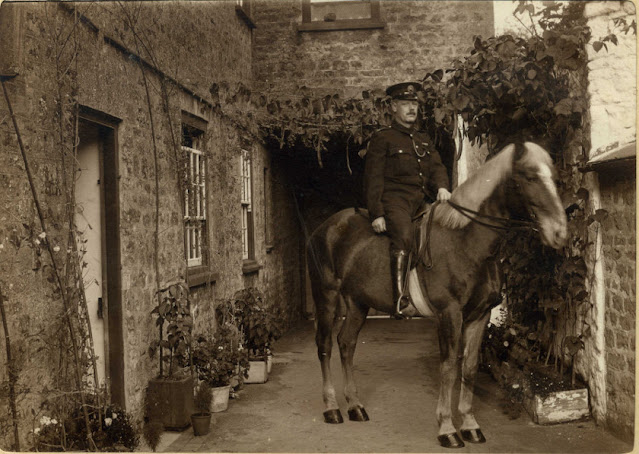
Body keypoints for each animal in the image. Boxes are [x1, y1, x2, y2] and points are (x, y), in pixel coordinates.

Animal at [308, 141, 568, 446]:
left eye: (554, 176)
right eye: (528, 176)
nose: (559, 232)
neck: (466, 241)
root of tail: (325, 228)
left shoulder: (480, 316)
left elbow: (469, 367)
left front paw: (469, 424)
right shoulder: (449, 314)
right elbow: (448, 367)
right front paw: (446, 428)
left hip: (358, 303)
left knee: (346, 344)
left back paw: (355, 406)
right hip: (326, 297)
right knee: (325, 346)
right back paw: (331, 408)